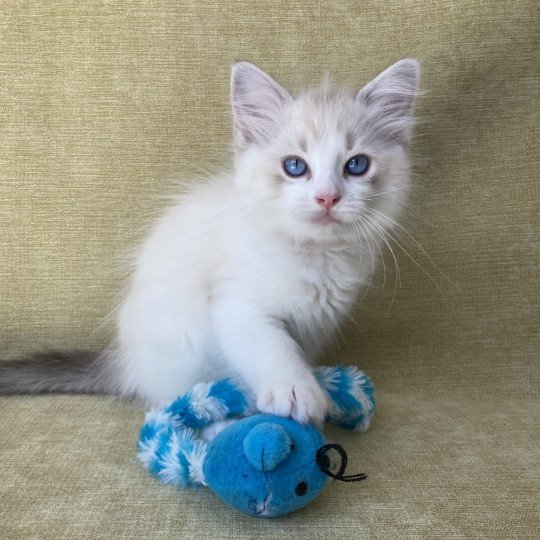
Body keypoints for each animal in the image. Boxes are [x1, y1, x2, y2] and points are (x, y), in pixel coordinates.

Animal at [0, 59, 420, 426]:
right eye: (295, 167)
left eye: (356, 165)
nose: (328, 198)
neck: (315, 256)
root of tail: (125, 362)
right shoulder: (238, 305)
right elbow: (274, 349)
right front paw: (296, 391)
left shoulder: (314, 323)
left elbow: (297, 350)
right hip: (180, 344)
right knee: (175, 402)